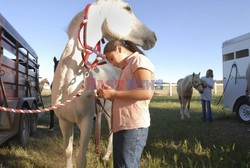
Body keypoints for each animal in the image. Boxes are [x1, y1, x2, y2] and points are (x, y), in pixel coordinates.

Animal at [50, 0, 156, 167]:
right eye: (127, 8)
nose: (153, 36)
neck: (68, 86)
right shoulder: (64, 122)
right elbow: (68, 153)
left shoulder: (87, 122)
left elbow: (81, 159)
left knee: (113, 132)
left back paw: (106, 156)